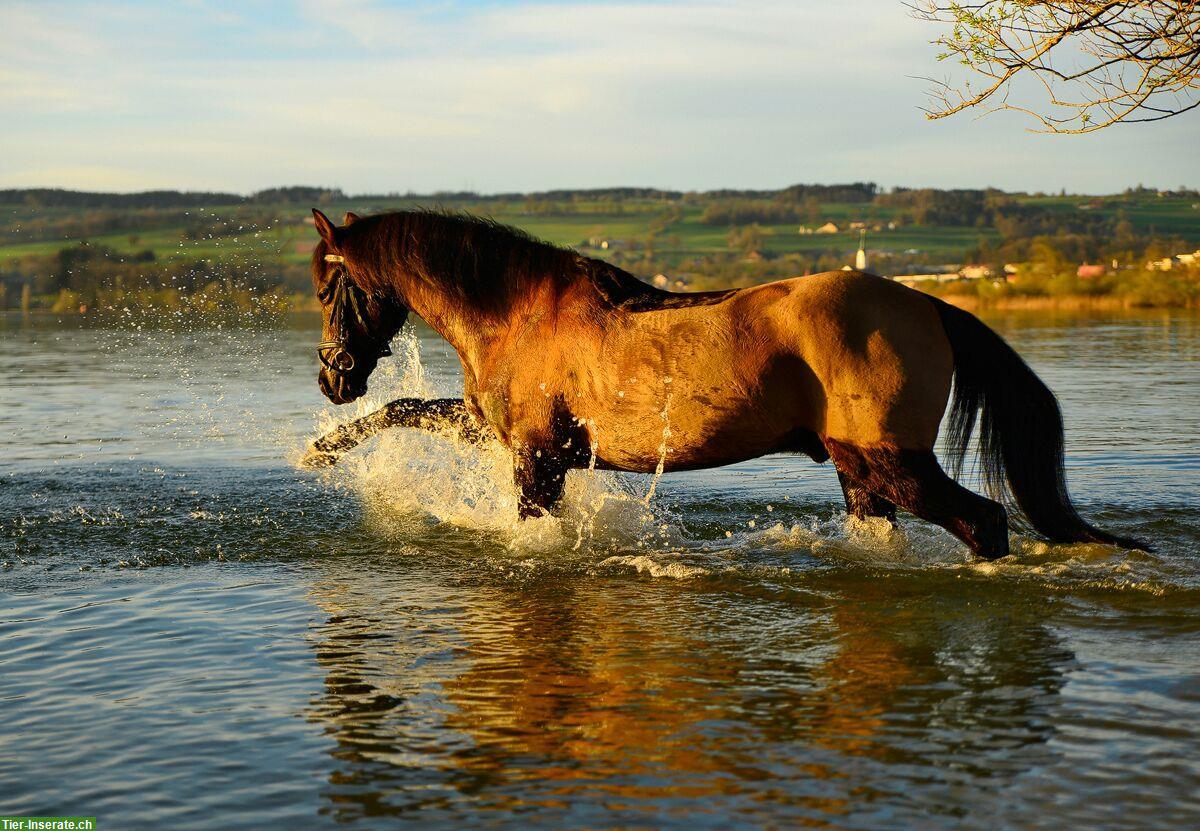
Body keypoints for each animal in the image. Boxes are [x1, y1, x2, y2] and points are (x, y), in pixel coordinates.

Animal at [300, 206, 1142, 557]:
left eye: (328, 286)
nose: (332, 377)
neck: (516, 311)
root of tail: (927, 303)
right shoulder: (496, 431)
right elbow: (405, 407)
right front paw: (321, 450)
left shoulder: (537, 457)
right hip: (861, 474)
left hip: (894, 462)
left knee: (985, 521)